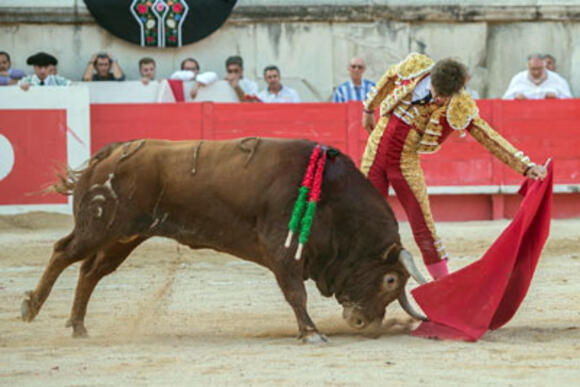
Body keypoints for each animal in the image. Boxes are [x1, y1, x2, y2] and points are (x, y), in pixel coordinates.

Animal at [21, 138, 426, 344]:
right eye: (390, 280)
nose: (363, 322)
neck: (331, 196)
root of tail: (105, 156)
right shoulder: (283, 252)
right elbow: (296, 294)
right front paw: (311, 333)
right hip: (100, 228)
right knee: (63, 252)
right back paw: (31, 307)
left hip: (123, 237)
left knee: (90, 271)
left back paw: (78, 325)